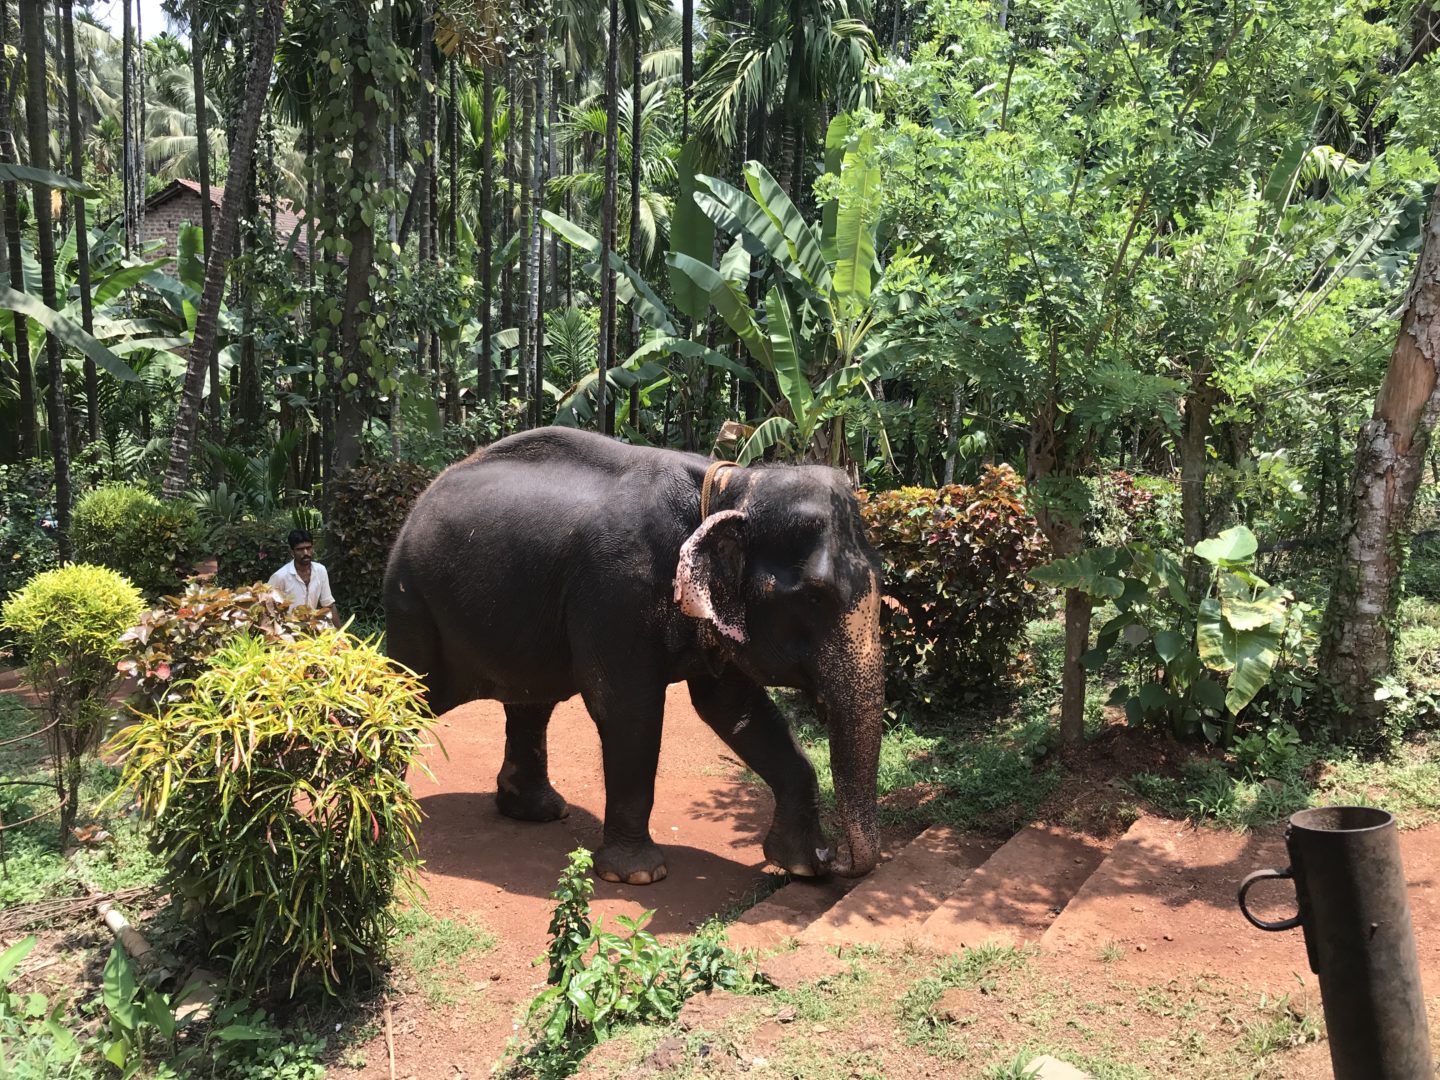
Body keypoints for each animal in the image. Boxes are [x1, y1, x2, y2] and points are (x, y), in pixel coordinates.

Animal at [377, 426, 881, 892]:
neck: (729, 486)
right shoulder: (617, 591)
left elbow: (733, 708)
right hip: (413, 605)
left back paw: (539, 812)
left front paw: (801, 865)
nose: (835, 861)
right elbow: (627, 708)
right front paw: (638, 876)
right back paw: (391, 809)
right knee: (408, 696)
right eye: (814, 597)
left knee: (530, 705)